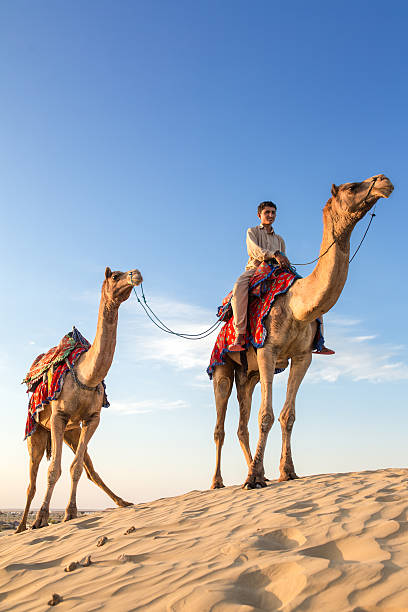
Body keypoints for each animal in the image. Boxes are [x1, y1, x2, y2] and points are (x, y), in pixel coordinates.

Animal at [15, 266, 143, 532]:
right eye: (115, 276)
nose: (135, 273)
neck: (87, 376)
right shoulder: (59, 416)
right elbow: (53, 470)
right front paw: (41, 518)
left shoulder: (92, 419)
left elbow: (77, 468)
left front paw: (70, 513)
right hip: (37, 431)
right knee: (31, 480)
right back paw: (22, 526)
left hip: (72, 432)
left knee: (89, 468)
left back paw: (123, 502)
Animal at [209, 175, 394, 490]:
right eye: (350, 187)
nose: (383, 181)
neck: (296, 305)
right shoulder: (267, 350)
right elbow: (266, 416)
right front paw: (254, 479)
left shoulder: (303, 356)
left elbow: (288, 416)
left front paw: (286, 472)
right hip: (222, 367)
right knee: (219, 425)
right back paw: (218, 481)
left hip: (248, 375)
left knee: (241, 424)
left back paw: (257, 471)